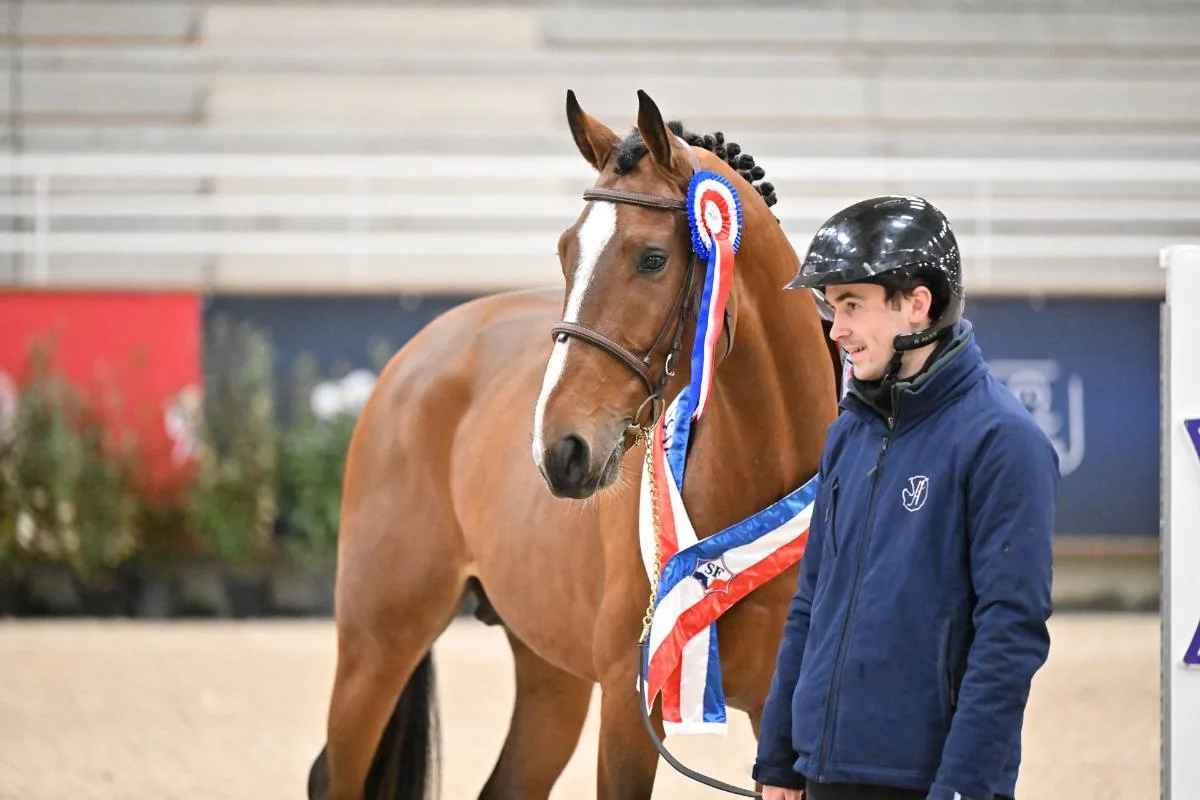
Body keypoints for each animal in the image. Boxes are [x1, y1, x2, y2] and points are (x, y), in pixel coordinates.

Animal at [307, 89, 841, 800]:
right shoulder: (627, 706)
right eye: (566, 252)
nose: (560, 451)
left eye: (653, 258)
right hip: (377, 644)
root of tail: (417, 354)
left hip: (547, 675)